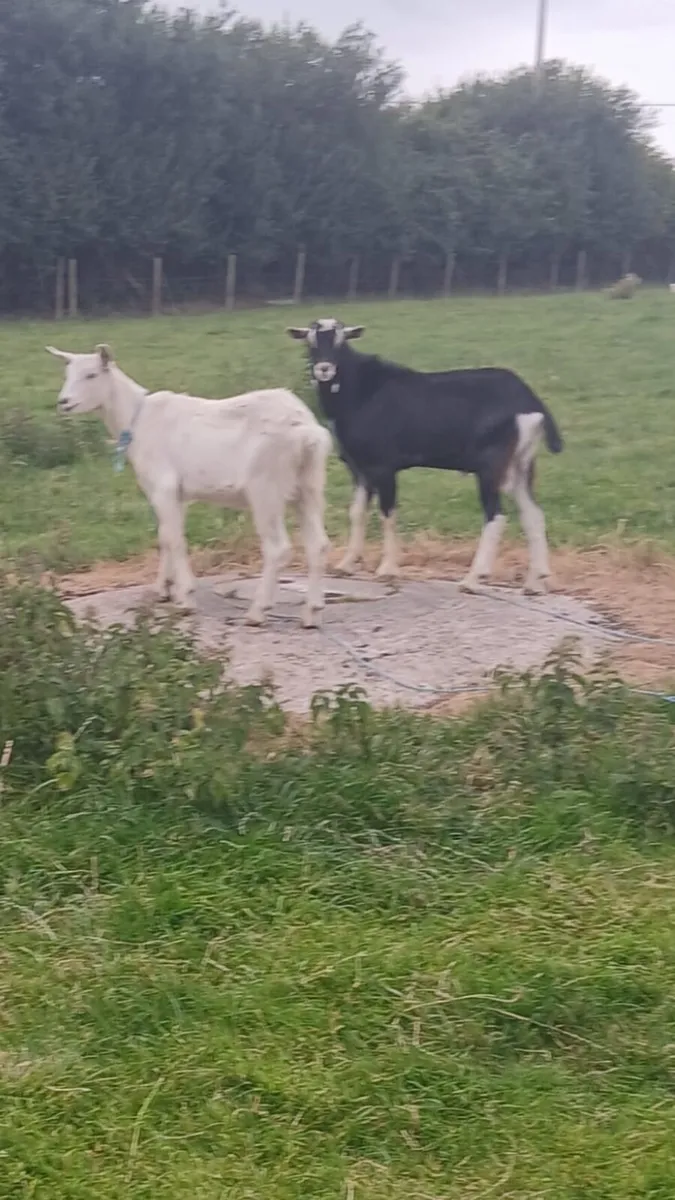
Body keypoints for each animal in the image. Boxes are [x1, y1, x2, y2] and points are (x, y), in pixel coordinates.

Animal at [46, 344, 331, 627]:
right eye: (67, 374)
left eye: (91, 374)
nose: (64, 402)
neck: (137, 419)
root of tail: (307, 431)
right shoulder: (176, 494)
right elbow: (166, 534)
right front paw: (162, 589)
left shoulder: (163, 485)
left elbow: (174, 538)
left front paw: (185, 597)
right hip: (309, 485)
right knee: (318, 544)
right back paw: (312, 613)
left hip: (266, 487)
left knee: (277, 548)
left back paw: (257, 611)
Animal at [287, 318, 563, 594]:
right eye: (310, 343)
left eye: (341, 342)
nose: (324, 369)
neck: (360, 394)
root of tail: (530, 403)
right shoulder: (359, 468)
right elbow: (356, 512)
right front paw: (345, 565)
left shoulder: (383, 466)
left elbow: (387, 513)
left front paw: (387, 570)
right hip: (521, 463)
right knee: (533, 515)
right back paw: (535, 582)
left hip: (491, 464)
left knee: (496, 515)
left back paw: (473, 579)